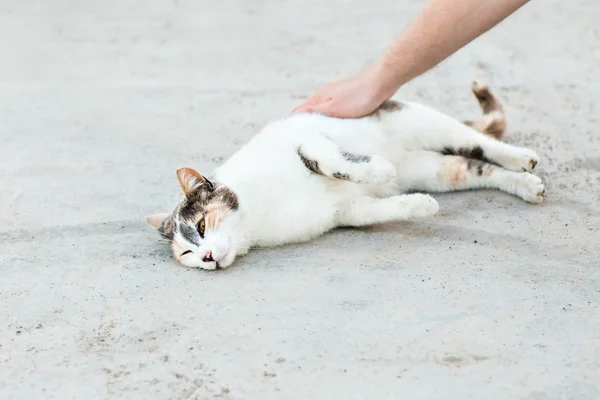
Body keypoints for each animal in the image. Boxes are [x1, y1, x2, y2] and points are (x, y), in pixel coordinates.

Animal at [148, 80, 548, 272]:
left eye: (202, 226)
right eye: (186, 252)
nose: (206, 258)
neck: (256, 219)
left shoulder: (306, 139)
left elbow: (330, 161)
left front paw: (377, 169)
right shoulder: (344, 212)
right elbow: (375, 211)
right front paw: (420, 207)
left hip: (420, 121)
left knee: (481, 143)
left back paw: (520, 158)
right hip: (434, 170)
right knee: (476, 166)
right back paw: (526, 185)